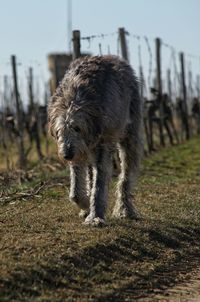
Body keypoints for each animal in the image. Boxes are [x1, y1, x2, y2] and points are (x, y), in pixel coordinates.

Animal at [48, 56, 142, 226]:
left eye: (77, 128)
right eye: (59, 131)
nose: (66, 155)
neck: (74, 97)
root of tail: (116, 58)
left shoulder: (100, 145)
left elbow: (99, 184)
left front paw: (95, 216)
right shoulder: (78, 151)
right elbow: (75, 191)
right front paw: (85, 204)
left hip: (130, 134)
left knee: (125, 174)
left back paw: (124, 208)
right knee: (90, 175)